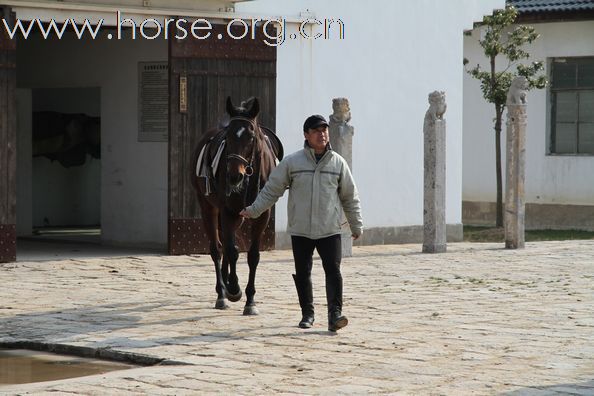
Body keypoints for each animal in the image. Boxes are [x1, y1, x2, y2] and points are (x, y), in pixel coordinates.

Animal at [190, 96, 282, 316]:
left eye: (251, 136)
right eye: (229, 137)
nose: (234, 176)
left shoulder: (262, 214)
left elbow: (253, 256)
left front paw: (250, 301)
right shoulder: (228, 211)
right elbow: (232, 251)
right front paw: (233, 289)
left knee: (225, 243)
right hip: (208, 207)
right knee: (217, 248)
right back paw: (221, 293)